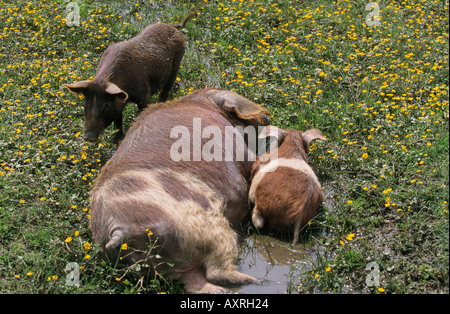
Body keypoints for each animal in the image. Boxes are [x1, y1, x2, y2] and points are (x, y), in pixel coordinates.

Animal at [64, 12, 194, 142]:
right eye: (86, 104)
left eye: (105, 106)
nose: (88, 137)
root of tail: (171, 25)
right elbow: (118, 120)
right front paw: (117, 139)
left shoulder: (144, 94)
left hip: (177, 61)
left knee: (165, 90)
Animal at [89, 87, 268, 292]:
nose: (267, 117)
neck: (202, 102)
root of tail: (117, 231)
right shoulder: (240, 149)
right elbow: (252, 161)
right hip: (201, 225)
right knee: (218, 270)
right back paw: (258, 281)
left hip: (172, 264)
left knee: (195, 282)